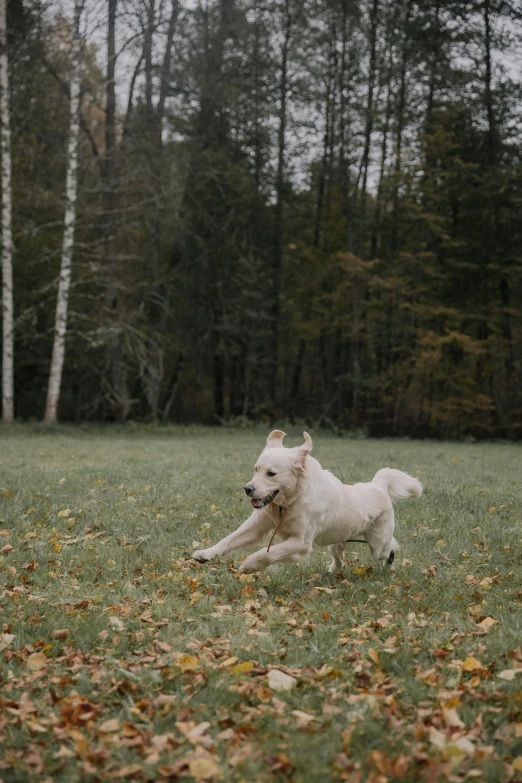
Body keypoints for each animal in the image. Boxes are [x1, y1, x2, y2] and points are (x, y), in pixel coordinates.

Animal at [191, 432, 418, 572]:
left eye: (271, 473)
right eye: (256, 469)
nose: (248, 489)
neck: (290, 500)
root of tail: (378, 486)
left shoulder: (300, 542)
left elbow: (268, 553)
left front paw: (250, 565)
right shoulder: (257, 525)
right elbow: (229, 539)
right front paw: (205, 553)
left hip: (377, 544)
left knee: (390, 550)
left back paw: (389, 567)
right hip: (336, 540)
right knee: (339, 558)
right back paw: (333, 571)